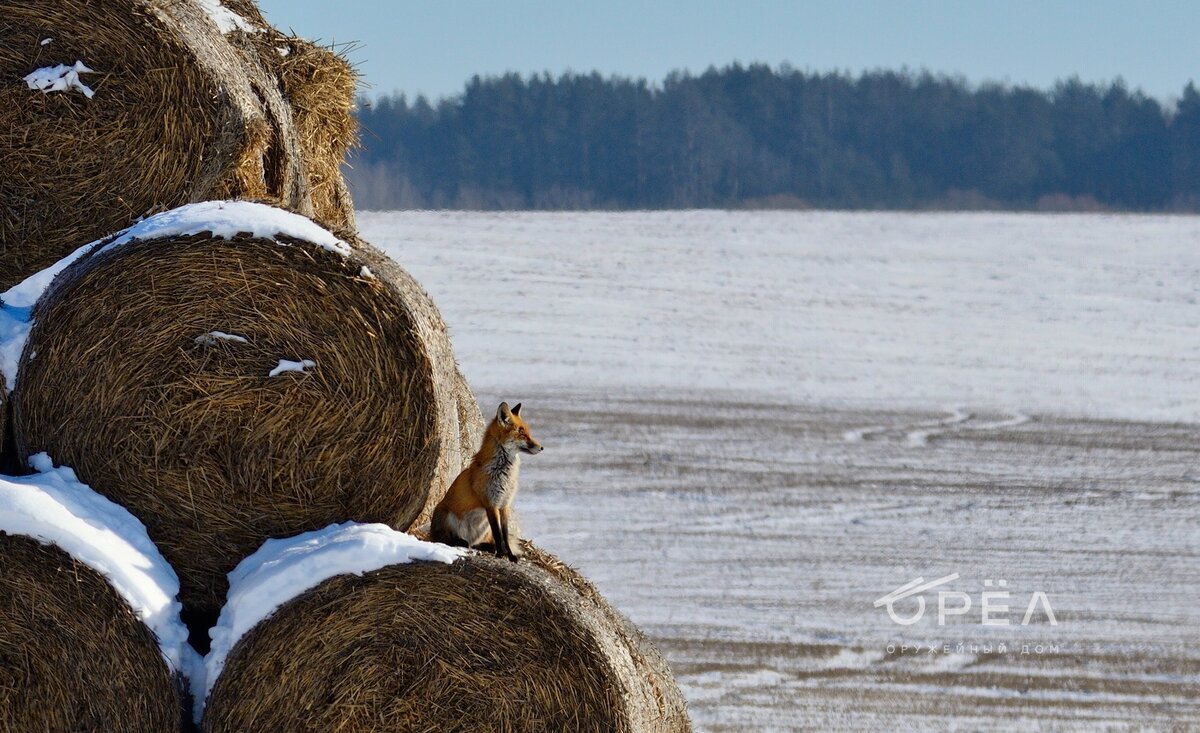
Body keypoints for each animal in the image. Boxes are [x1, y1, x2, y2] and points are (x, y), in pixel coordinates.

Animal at [432, 400, 544, 561]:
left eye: (528, 432)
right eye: (522, 433)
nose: (541, 447)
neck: (503, 473)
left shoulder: (505, 504)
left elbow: (504, 534)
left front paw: (510, 555)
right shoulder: (491, 503)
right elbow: (497, 533)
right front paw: (501, 554)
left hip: (482, 529)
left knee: (475, 543)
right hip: (446, 516)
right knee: (443, 539)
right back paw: (457, 542)